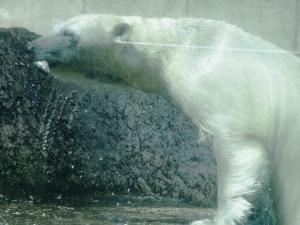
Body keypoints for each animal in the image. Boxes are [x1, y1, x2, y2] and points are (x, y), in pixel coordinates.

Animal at [28, 14, 300, 224]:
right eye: (54, 27)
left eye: (69, 33)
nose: (31, 46)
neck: (178, 48)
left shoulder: (218, 85)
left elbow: (237, 145)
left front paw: (215, 218)